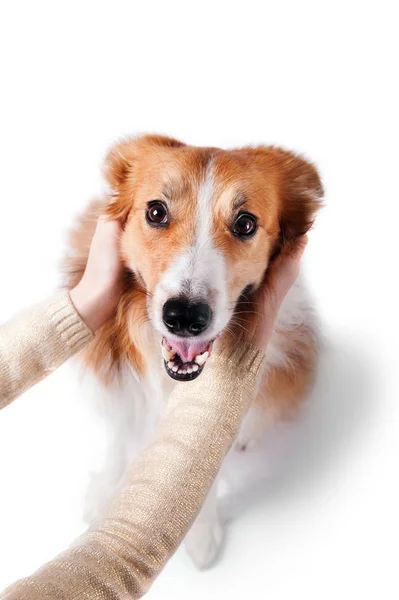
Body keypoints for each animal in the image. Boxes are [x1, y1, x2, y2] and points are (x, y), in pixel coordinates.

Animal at [63, 134, 324, 568]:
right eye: (156, 212)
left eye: (245, 223)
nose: (184, 317)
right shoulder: (124, 388)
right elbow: (121, 431)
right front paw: (105, 490)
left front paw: (201, 533)